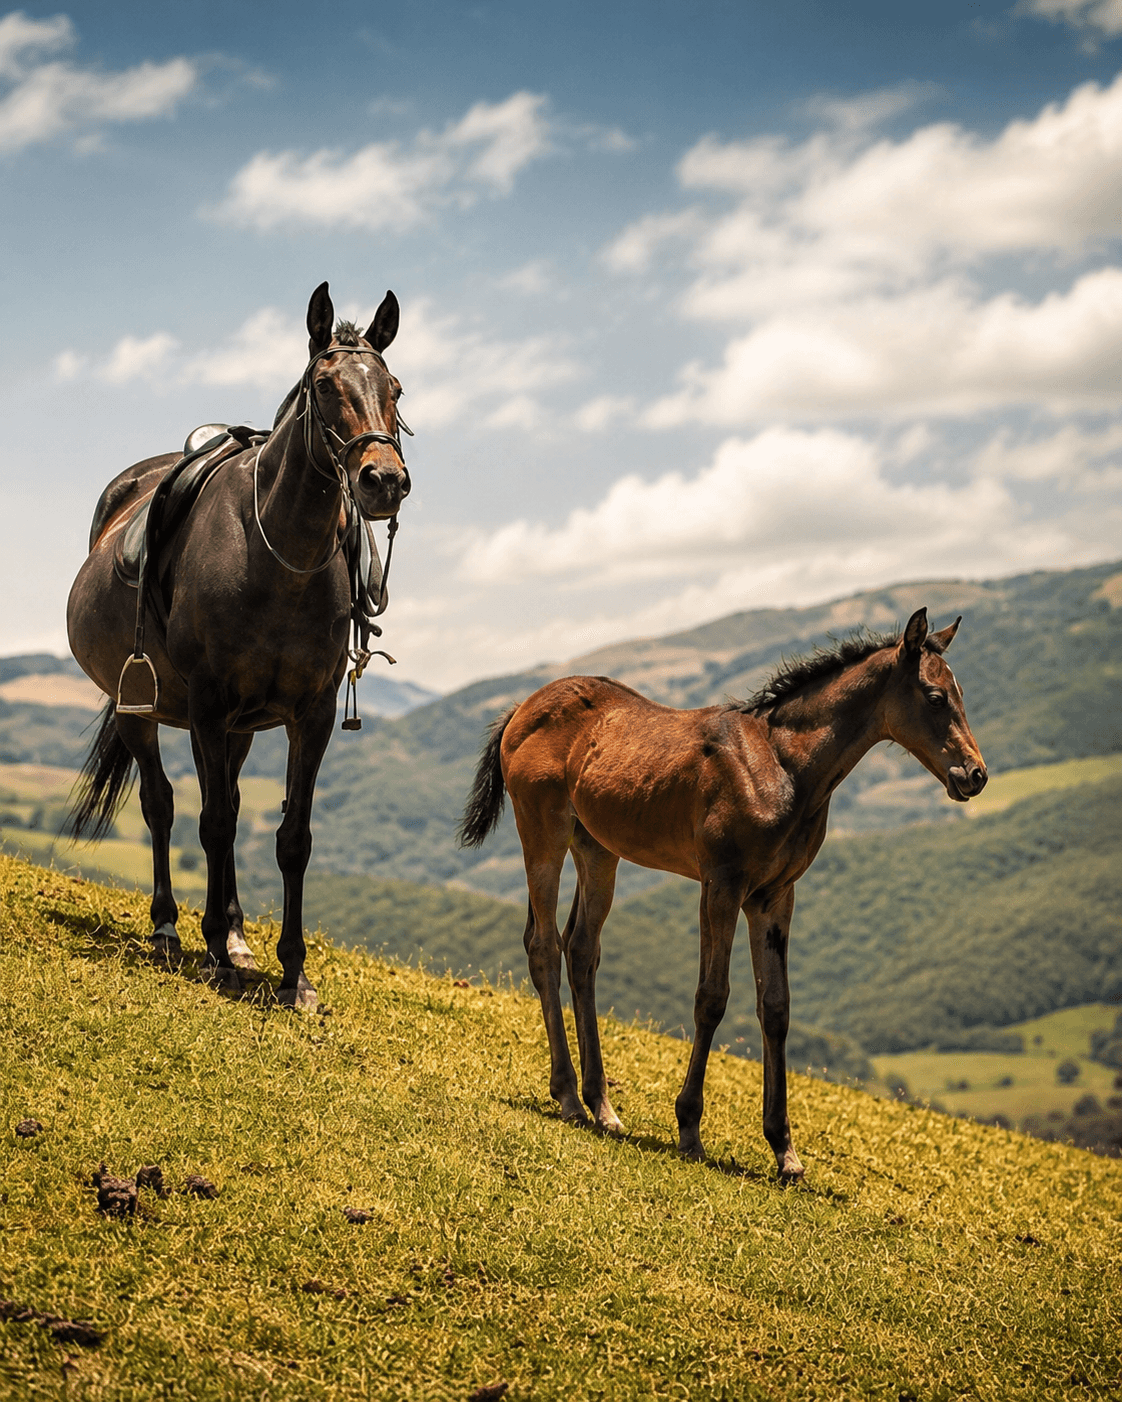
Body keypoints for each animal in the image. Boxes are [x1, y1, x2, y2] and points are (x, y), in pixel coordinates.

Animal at [66, 282, 410, 1010]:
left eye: (394, 388)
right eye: (324, 385)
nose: (384, 481)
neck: (279, 556)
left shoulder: (309, 713)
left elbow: (291, 836)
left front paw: (291, 971)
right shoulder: (207, 704)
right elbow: (214, 824)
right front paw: (218, 959)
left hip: (244, 727)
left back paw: (233, 930)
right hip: (141, 706)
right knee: (164, 805)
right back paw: (171, 929)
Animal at [460, 608, 987, 1177]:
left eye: (961, 693)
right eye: (935, 697)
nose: (975, 775)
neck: (782, 767)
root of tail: (522, 708)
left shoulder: (775, 896)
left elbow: (775, 1008)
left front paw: (785, 1150)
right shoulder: (721, 885)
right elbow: (711, 998)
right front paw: (689, 1128)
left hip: (598, 849)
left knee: (580, 950)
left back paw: (603, 1106)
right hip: (544, 834)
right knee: (543, 947)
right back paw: (569, 1098)